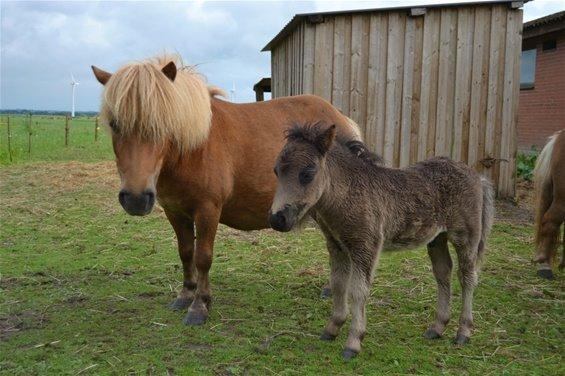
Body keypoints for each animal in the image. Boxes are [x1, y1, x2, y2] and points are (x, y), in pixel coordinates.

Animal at [90, 54, 360, 324]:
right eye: (114, 124)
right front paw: (185, 295)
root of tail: (342, 120)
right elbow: (185, 252)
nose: (135, 199)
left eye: (162, 124)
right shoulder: (174, 211)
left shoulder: (208, 210)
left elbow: (203, 257)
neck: (193, 149)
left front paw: (200, 306)